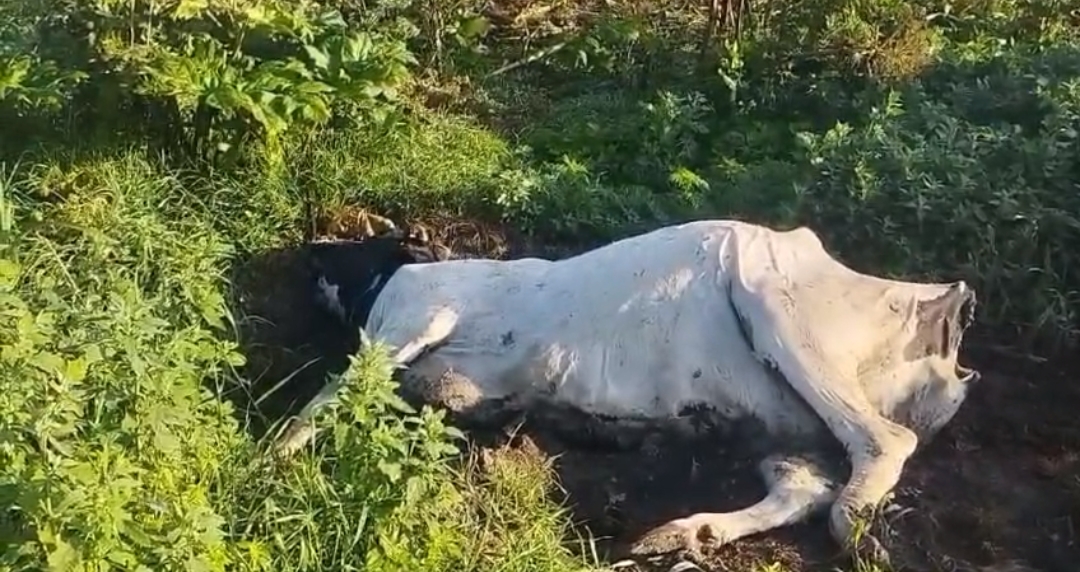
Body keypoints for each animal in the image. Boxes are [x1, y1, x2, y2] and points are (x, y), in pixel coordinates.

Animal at [273, 219, 980, 563]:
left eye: (366, 240)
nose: (308, 249)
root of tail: (939, 314)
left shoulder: (414, 319)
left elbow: (322, 401)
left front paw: (268, 461)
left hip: (771, 297)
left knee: (884, 442)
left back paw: (854, 530)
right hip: (788, 431)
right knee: (805, 486)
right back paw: (681, 535)